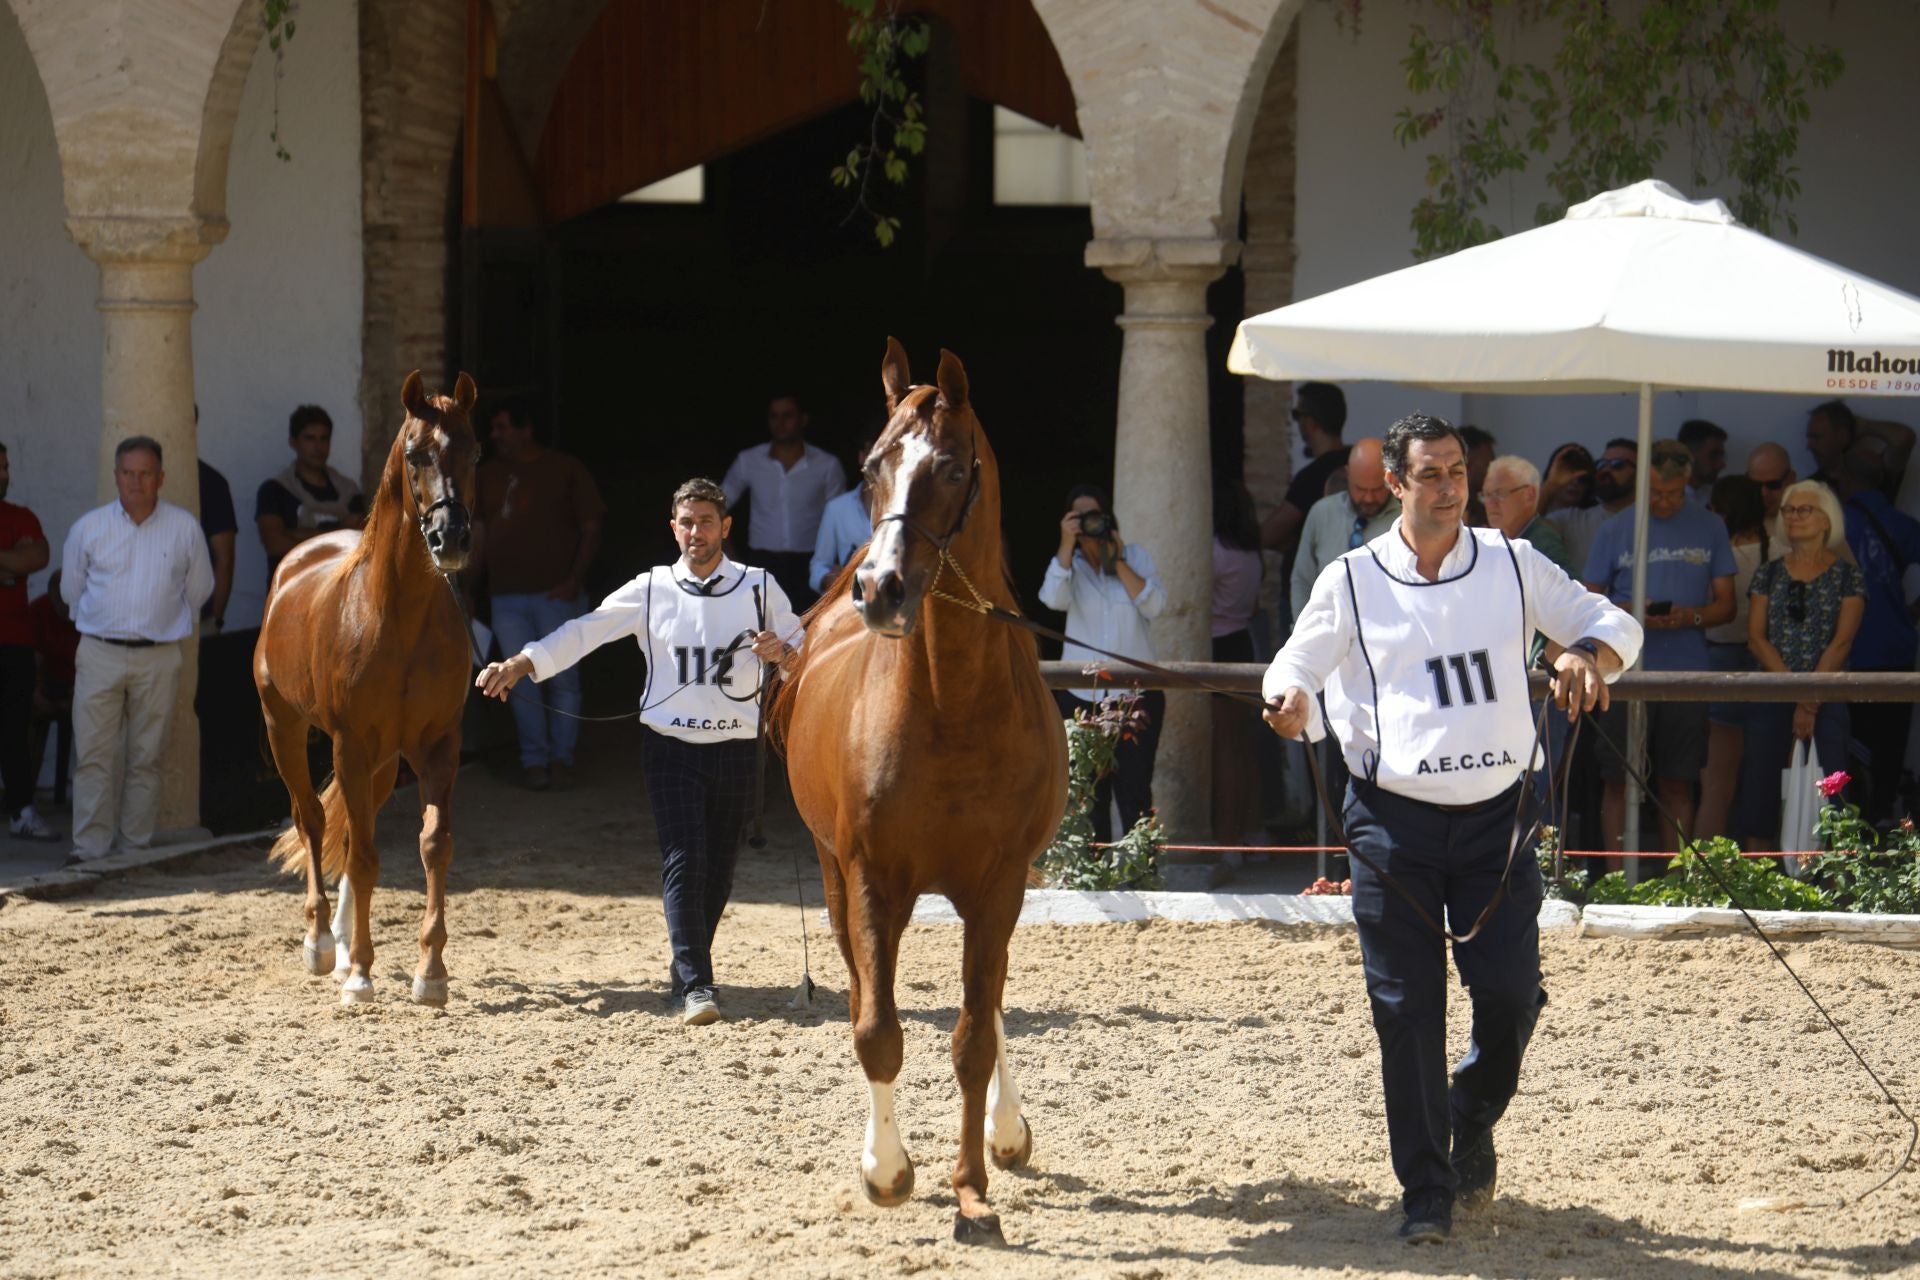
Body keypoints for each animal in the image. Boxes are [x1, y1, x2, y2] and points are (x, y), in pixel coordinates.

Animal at [254, 370, 478, 1007]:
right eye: (415, 453)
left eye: (475, 451)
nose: (451, 538)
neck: (396, 619)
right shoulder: (348, 745)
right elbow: (362, 857)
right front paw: (358, 973)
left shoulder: (438, 745)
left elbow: (433, 845)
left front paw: (431, 972)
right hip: (287, 730)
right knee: (312, 819)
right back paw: (323, 944)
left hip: (381, 762)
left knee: (355, 834)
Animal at [777, 339, 1068, 1244]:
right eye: (873, 465)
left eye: (948, 466)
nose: (880, 588)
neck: (953, 705)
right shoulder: (874, 879)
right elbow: (878, 1029)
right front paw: (888, 1171)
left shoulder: (999, 885)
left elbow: (975, 1036)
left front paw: (973, 1184)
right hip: (838, 881)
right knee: (863, 995)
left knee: (994, 1003)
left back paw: (1007, 1133)